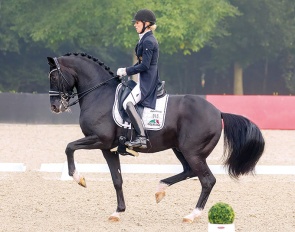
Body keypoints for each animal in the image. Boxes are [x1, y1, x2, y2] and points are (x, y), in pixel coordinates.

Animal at [46, 53, 266, 223]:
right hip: (180, 149)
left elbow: (69, 147)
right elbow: (117, 179)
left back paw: (191, 215)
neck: (99, 94)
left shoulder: (100, 140)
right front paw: (118, 212)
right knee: (189, 172)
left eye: (55, 77)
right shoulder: (108, 148)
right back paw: (160, 190)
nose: (55, 107)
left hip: (193, 152)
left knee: (207, 180)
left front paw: (79, 178)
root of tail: (218, 112)